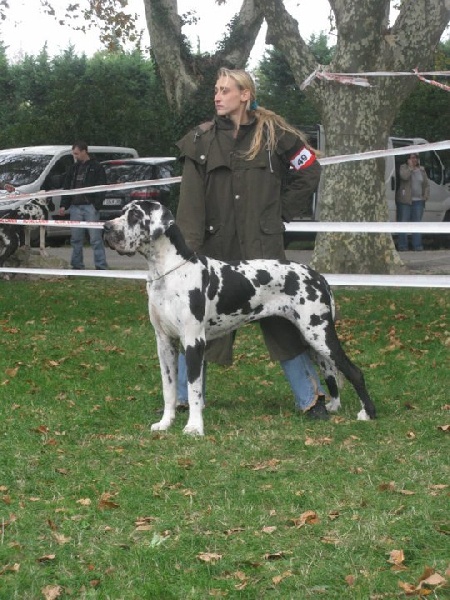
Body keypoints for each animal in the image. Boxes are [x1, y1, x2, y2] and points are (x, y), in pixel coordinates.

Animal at [103, 202, 374, 436]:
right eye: (123, 211)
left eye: (135, 215)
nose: (106, 227)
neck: (168, 273)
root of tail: (318, 276)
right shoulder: (164, 342)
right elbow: (168, 388)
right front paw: (165, 423)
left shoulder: (193, 342)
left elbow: (193, 390)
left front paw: (194, 428)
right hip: (310, 339)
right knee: (330, 371)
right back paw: (334, 406)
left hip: (320, 334)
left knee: (354, 371)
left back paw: (368, 413)